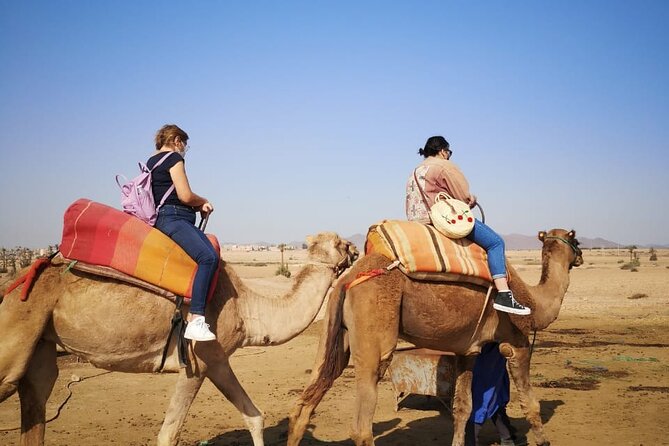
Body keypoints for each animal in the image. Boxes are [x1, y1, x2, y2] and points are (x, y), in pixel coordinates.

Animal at [0, 232, 358, 444]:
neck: (245, 307)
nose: (355, 250)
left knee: (36, 407)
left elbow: (254, 417)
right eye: (341, 243)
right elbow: (168, 435)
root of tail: (14, 285)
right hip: (15, 338)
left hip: (40, 348)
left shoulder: (217, 360)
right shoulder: (196, 364)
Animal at [290, 228, 580, 444]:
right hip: (374, 328)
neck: (534, 301)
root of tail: (347, 278)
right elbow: (530, 403)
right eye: (575, 239)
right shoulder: (516, 341)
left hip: (335, 334)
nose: (580, 256)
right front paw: (543, 440)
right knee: (361, 426)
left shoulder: (468, 351)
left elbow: (463, 408)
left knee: (305, 404)